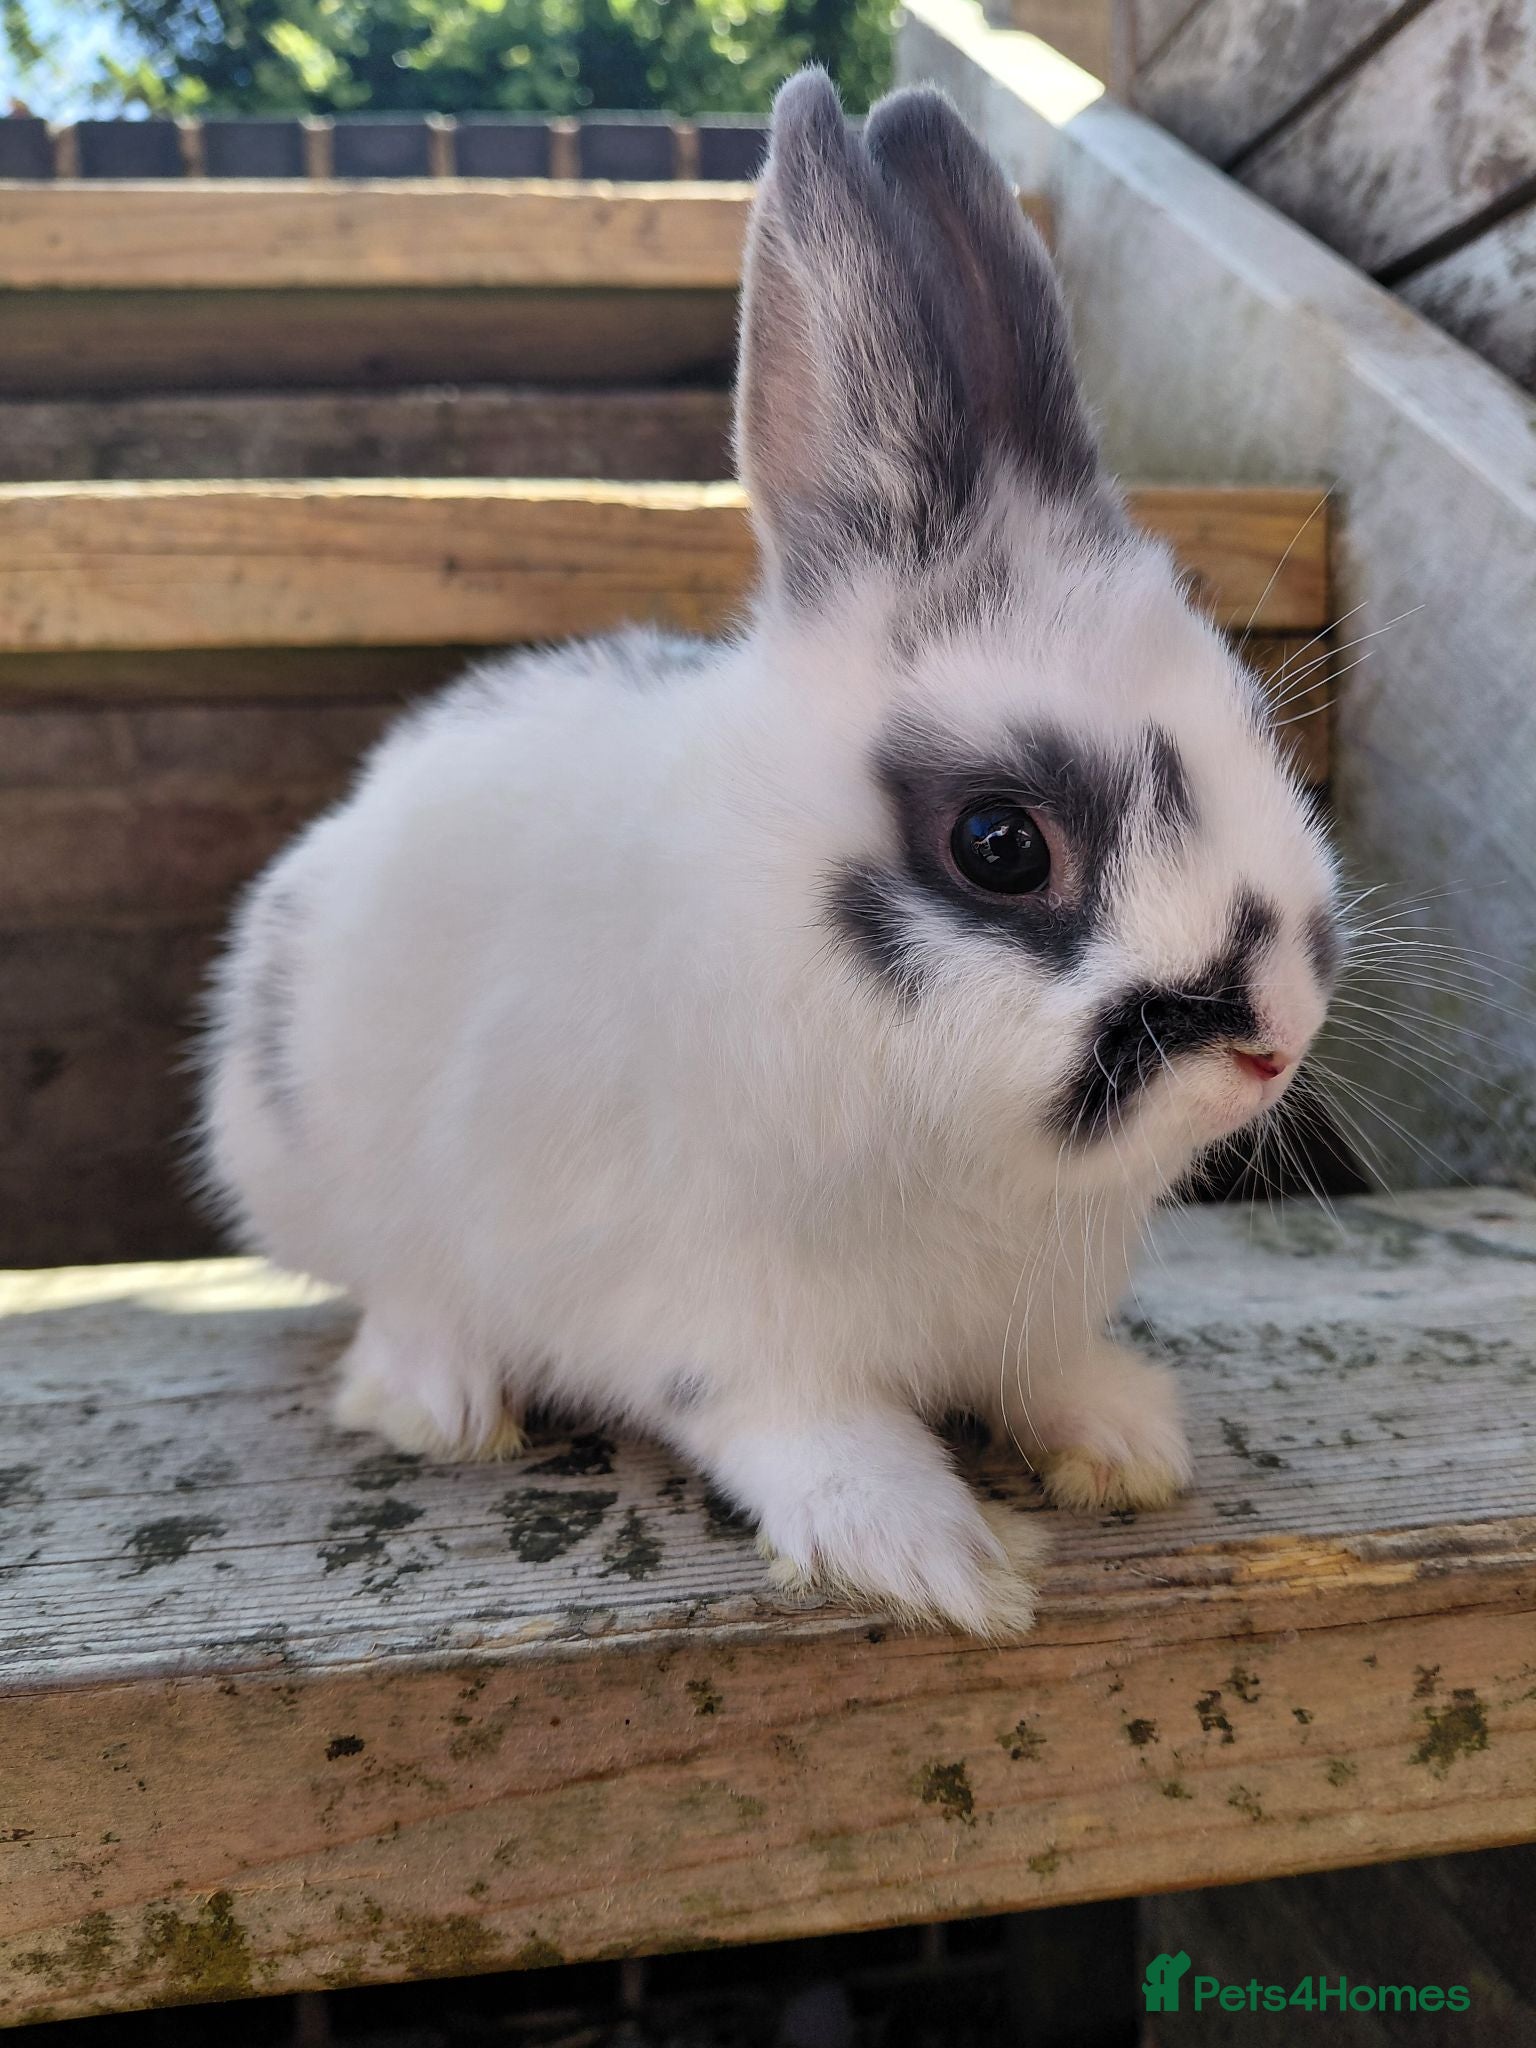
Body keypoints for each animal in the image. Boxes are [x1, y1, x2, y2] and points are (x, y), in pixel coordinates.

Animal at [200, 69, 1341, 1641]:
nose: (1276, 1036)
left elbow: (1043, 1373)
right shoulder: (713, 1309)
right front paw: (932, 1557)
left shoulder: (1025, 1307)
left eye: (1255, 727)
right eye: (1001, 843)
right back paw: (437, 1397)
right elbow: (798, 1426)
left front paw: (1121, 1441)